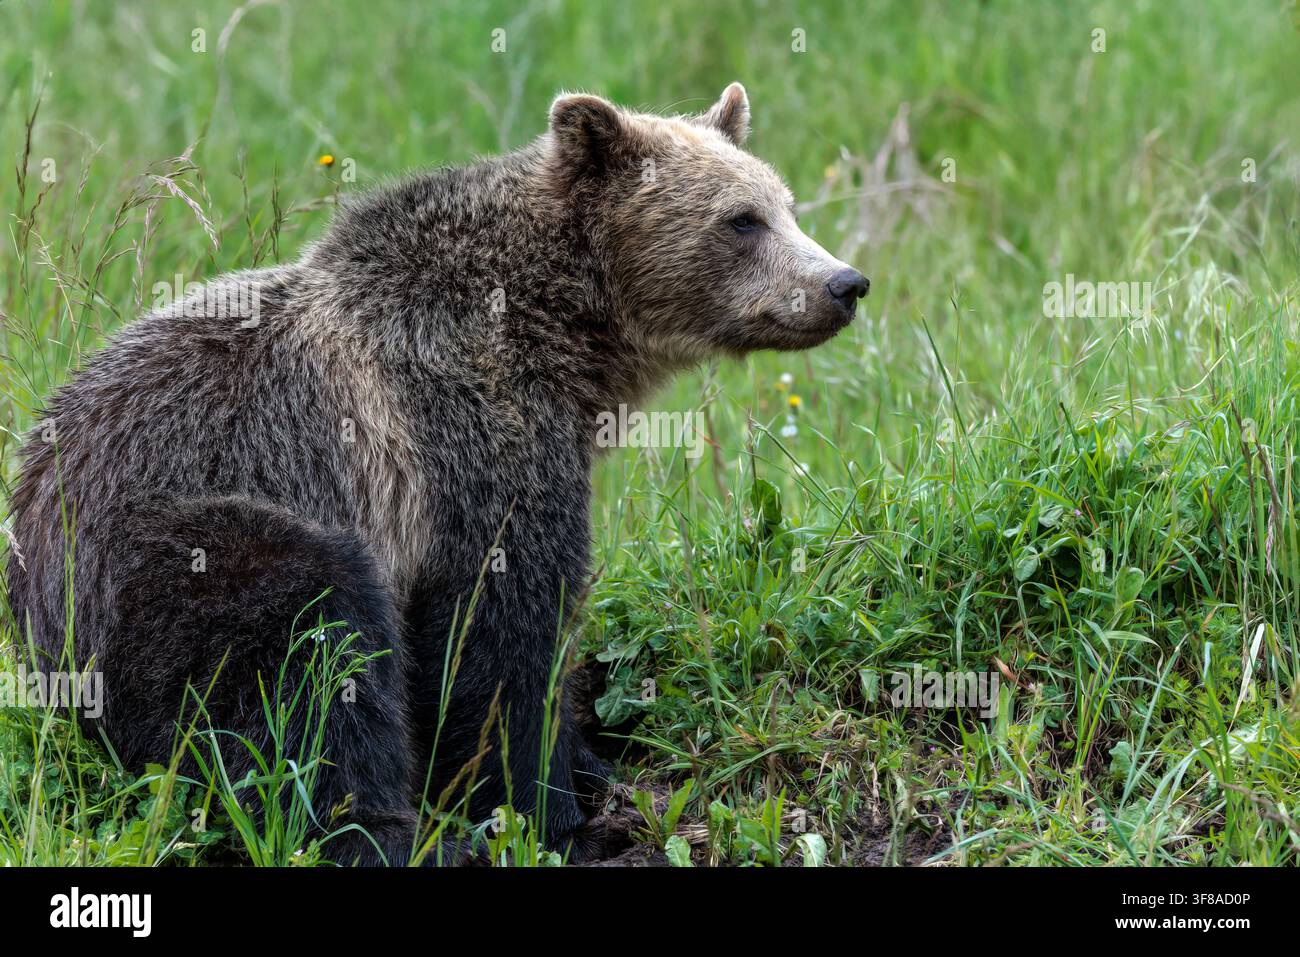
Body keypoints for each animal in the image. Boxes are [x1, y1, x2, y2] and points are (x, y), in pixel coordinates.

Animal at [4, 83, 868, 865]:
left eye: (787, 203)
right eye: (742, 218)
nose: (844, 283)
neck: (562, 335)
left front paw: (591, 767)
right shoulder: (463, 431)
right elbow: (494, 632)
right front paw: (548, 811)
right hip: (165, 551)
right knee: (302, 648)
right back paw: (392, 834)